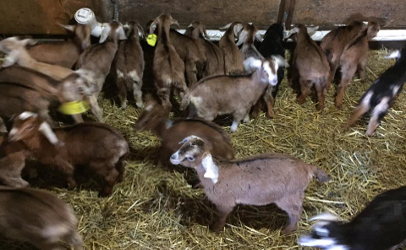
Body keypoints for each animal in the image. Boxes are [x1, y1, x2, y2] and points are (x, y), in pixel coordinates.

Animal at [170, 137, 328, 232]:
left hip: (289, 196)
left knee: (296, 212)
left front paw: (216, 229)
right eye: (183, 145)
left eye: (191, 157)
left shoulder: (225, 202)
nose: (172, 157)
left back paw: (287, 231)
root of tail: (307, 167)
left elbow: (222, 216)